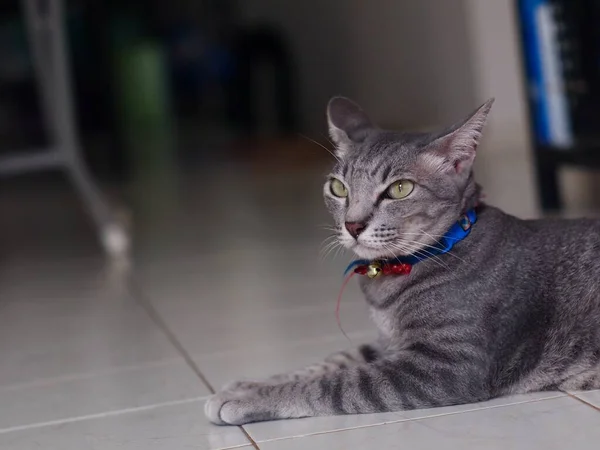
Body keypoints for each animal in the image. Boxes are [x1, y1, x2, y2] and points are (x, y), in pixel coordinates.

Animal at [205, 96, 600, 426]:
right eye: (338, 188)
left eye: (399, 189)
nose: (353, 225)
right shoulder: (387, 342)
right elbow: (332, 360)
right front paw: (249, 383)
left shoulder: (443, 366)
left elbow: (336, 382)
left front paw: (248, 398)